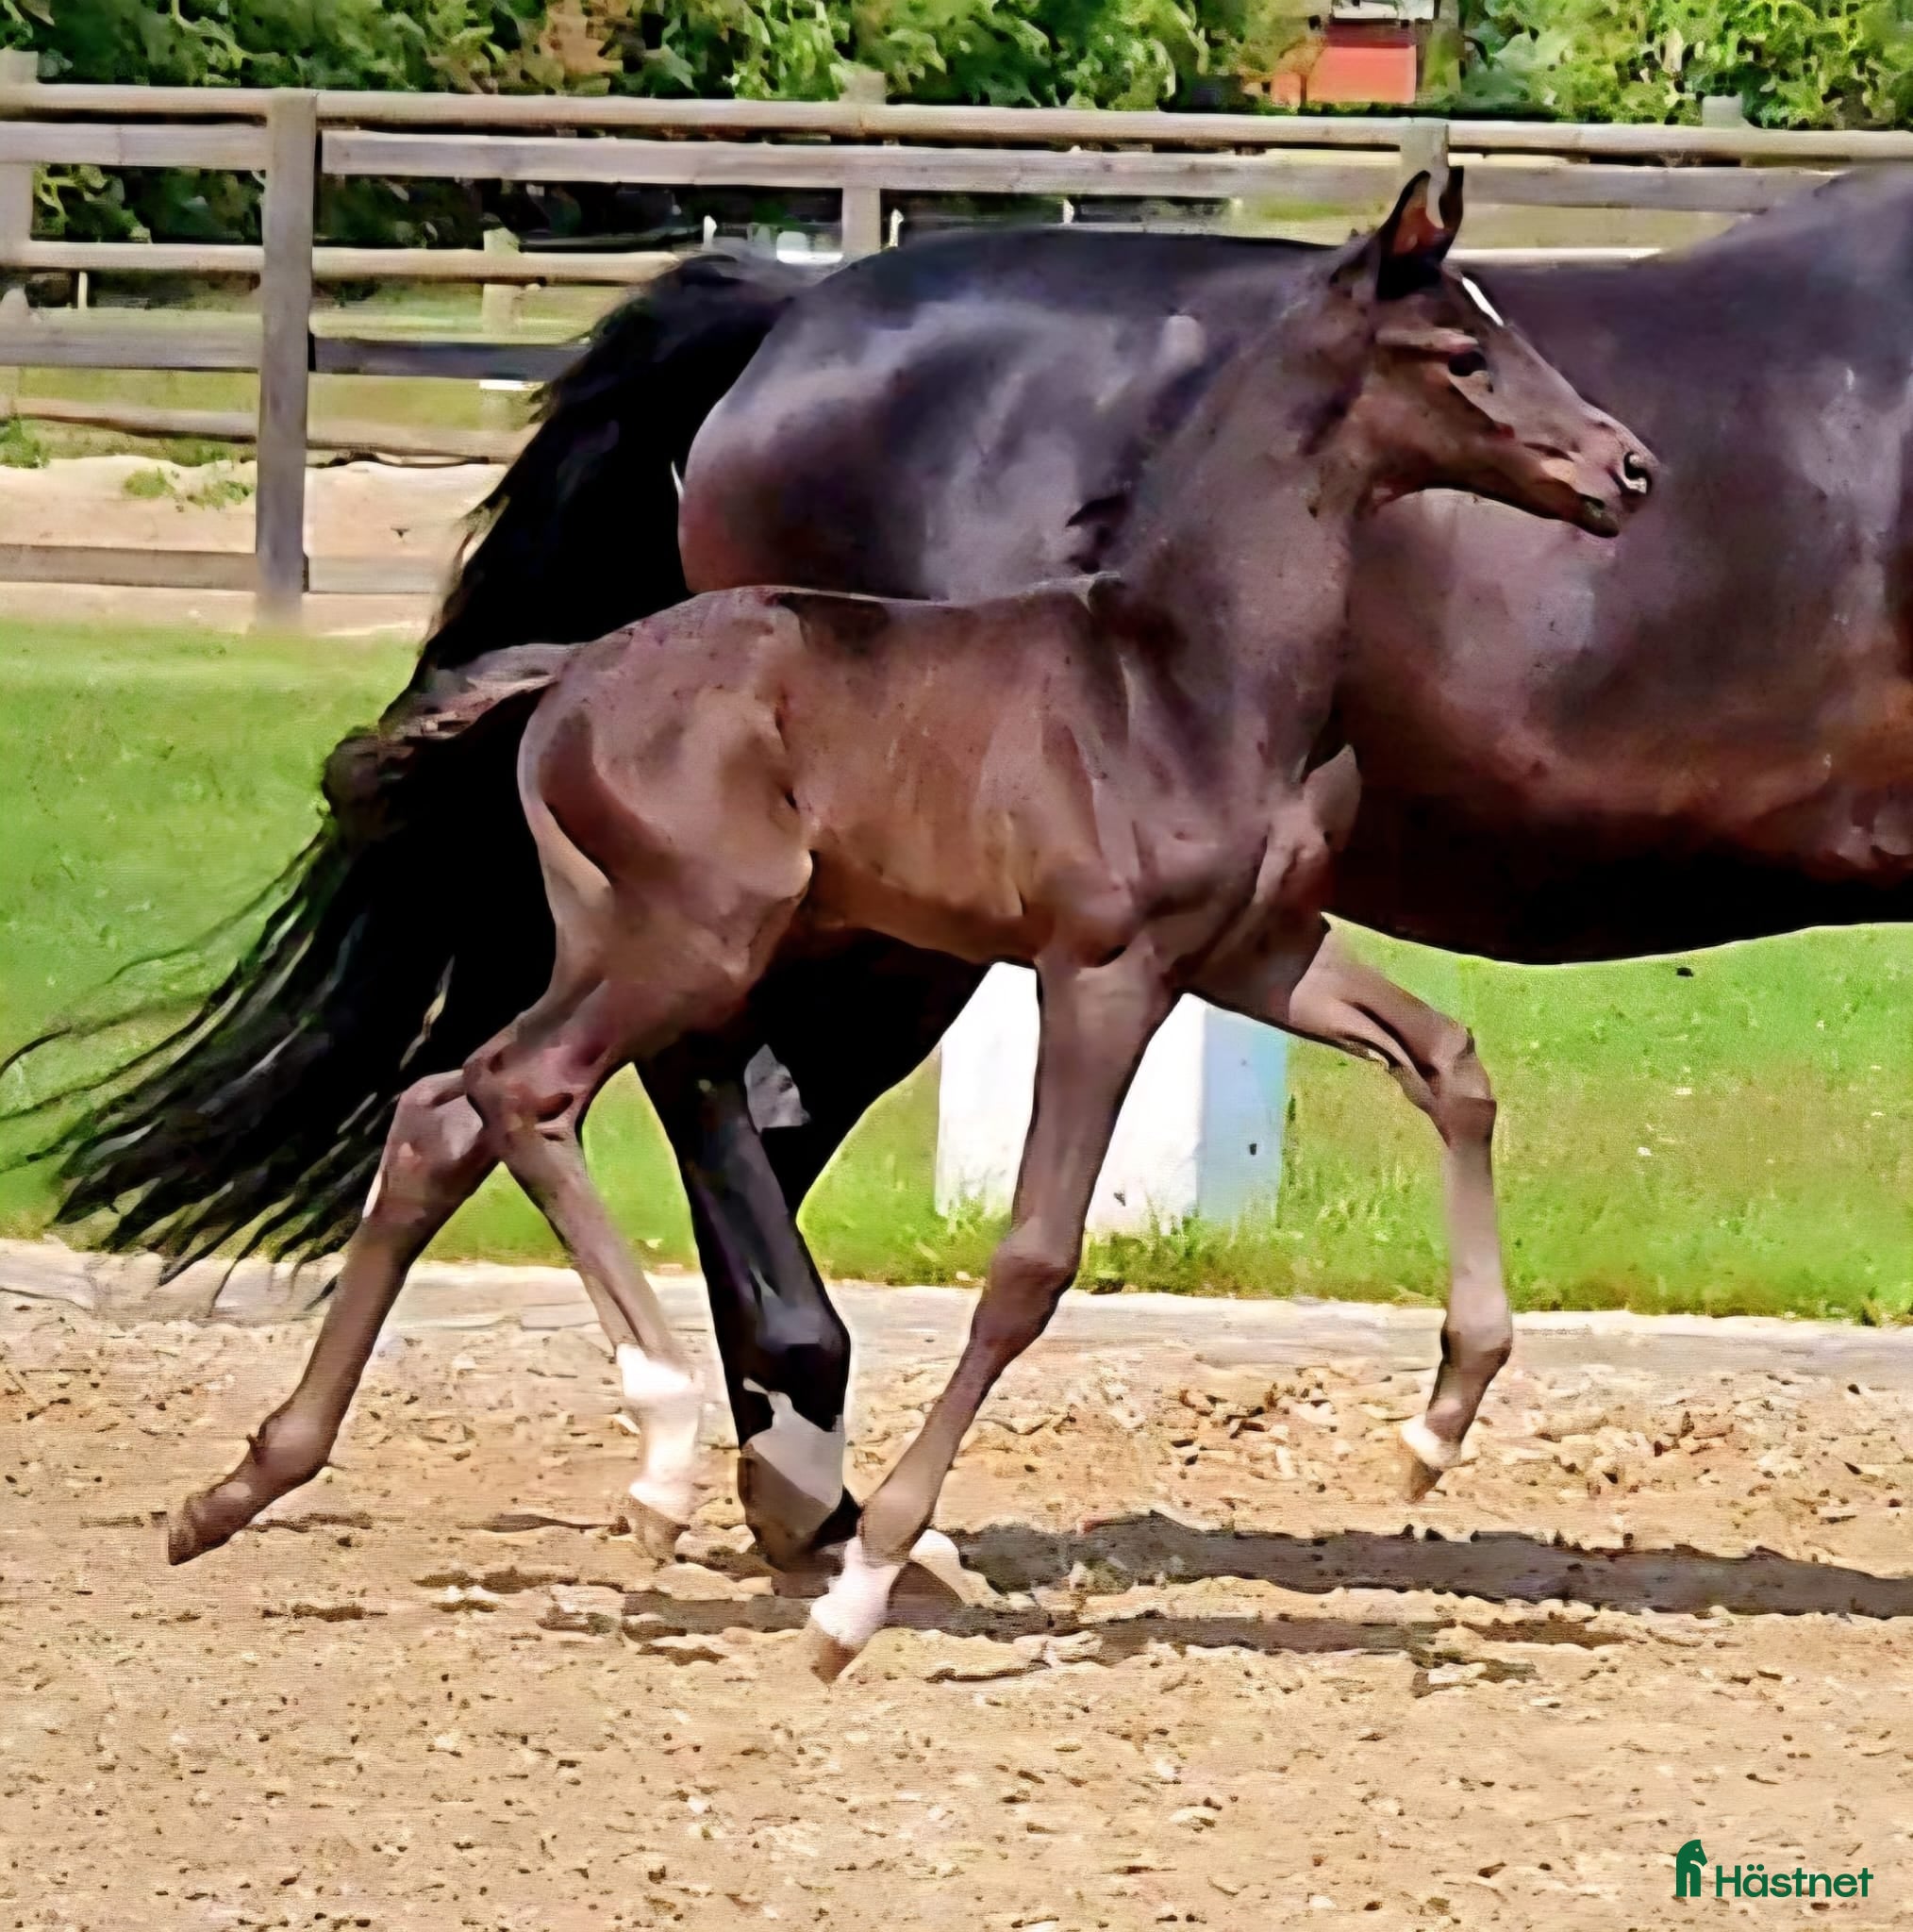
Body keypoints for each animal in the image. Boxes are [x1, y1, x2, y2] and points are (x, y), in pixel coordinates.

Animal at [27, 165, 1907, 1581]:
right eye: (1457, 350)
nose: (1628, 471)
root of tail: (782, 314)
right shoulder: (1114, 960)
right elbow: (1032, 1245)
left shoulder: (1253, 945)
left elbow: (1442, 1065)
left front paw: (1440, 1419)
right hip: (806, 930)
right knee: (641, 1092)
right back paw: (765, 1478)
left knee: (550, 1107)